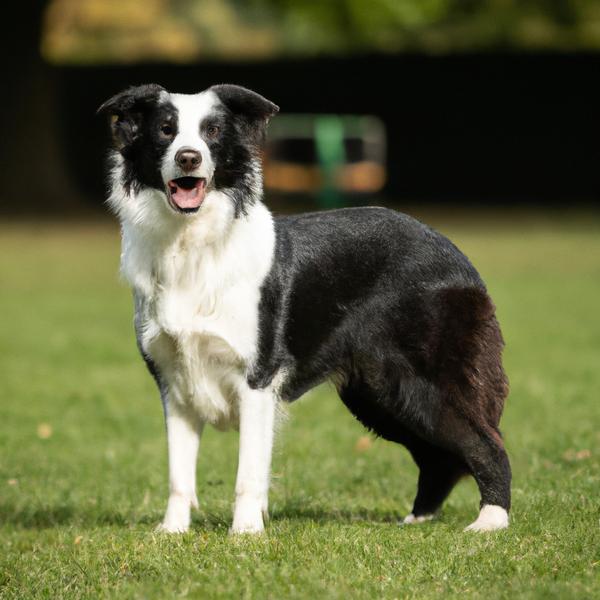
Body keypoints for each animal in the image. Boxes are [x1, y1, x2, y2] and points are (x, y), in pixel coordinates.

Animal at [97, 81, 510, 536]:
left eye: (212, 132)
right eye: (166, 130)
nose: (189, 157)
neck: (192, 243)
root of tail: (457, 254)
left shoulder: (256, 377)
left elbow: (248, 472)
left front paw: (245, 534)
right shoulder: (174, 381)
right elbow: (178, 473)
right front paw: (171, 533)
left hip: (425, 382)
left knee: (488, 443)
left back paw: (490, 521)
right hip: (378, 392)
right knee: (436, 455)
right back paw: (417, 518)